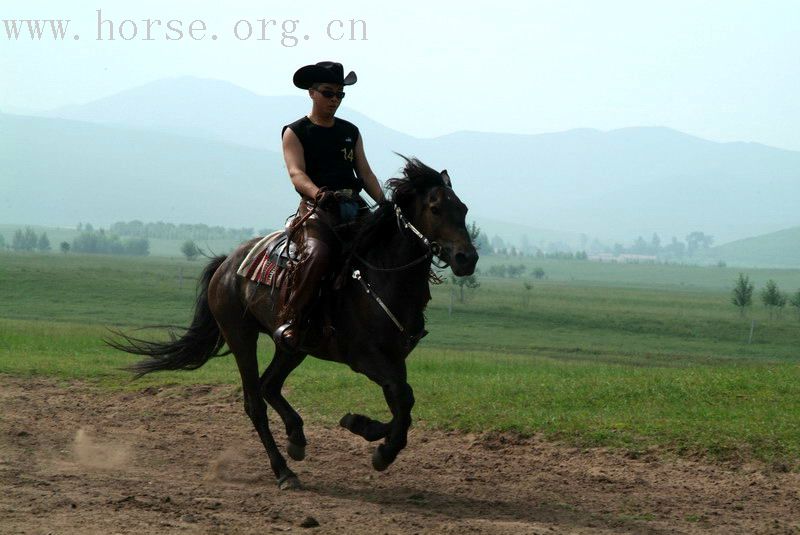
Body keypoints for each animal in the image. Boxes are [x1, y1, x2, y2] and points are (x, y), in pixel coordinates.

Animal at [108, 158, 478, 490]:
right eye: (434, 208)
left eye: (463, 208)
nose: (467, 258)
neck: (378, 276)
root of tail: (227, 264)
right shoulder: (365, 358)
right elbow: (402, 398)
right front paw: (381, 452)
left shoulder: (395, 359)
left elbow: (405, 403)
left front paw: (360, 425)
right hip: (240, 336)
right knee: (255, 401)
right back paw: (284, 471)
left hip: (293, 344)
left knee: (269, 384)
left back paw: (297, 438)